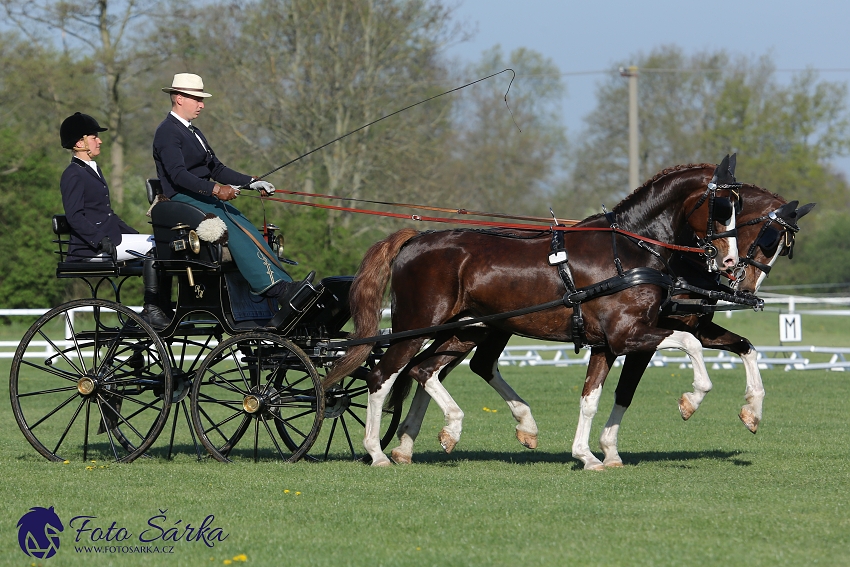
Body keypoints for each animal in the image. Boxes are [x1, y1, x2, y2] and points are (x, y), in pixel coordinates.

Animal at [326, 160, 744, 466]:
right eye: (723, 207)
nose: (730, 262)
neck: (629, 248)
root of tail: (415, 240)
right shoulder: (627, 335)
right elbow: (690, 342)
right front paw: (692, 400)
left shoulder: (606, 343)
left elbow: (590, 398)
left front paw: (587, 456)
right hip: (416, 327)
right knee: (382, 375)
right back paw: (378, 452)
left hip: (465, 330)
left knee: (424, 370)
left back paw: (438, 436)